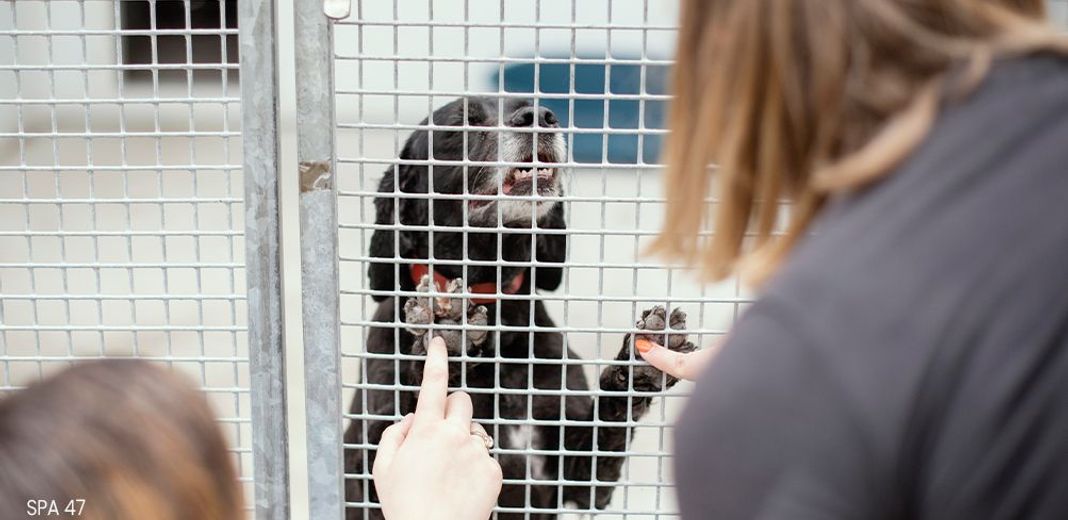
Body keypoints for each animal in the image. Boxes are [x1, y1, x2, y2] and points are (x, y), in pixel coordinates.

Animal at [339, 96, 692, 516]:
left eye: (531, 106)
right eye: (462, 124)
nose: (540, 118)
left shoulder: (582, 480)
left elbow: (610, 421)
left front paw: (639, 365)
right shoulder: (365, 467)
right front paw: (447, 331)